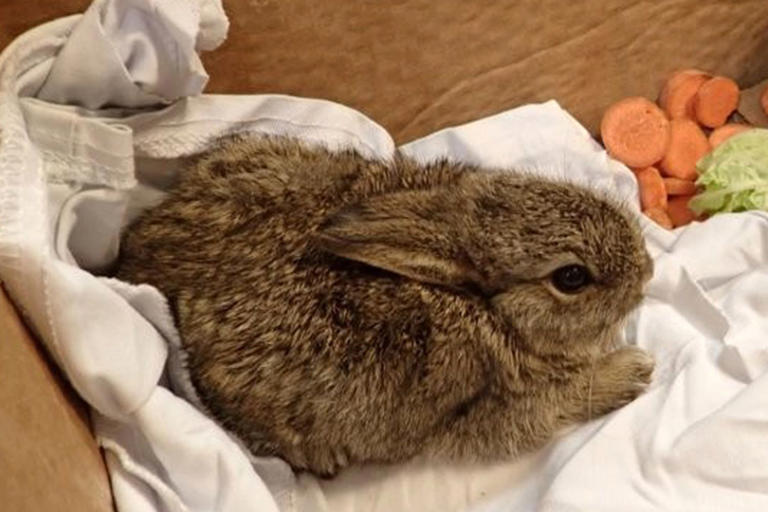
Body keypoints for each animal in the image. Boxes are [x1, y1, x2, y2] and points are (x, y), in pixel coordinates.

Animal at [116, 134, 655, 477]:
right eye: (571, 277)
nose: (647, 270)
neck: (484, 307)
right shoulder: (490, 411)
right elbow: (559, 402)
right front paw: (634, 371)